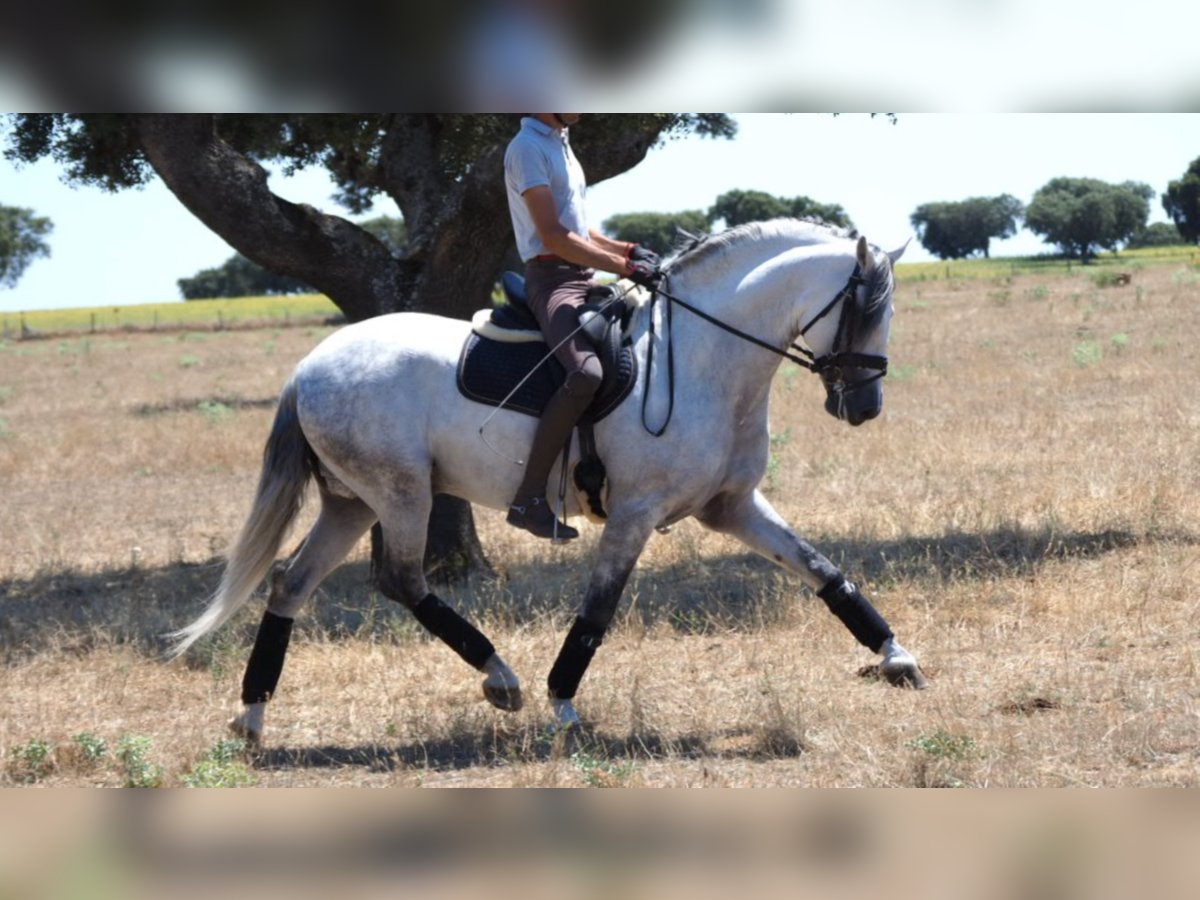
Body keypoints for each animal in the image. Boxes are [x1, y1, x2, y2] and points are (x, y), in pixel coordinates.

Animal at [171, 220, 926, 748]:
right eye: (864, 310)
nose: (864, 406)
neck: (705, 356)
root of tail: (310, 365)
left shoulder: (730, 506)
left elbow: (822, 569)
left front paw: (896, 657)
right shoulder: (636, 513)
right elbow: (597, 611)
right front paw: (563, 703)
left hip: (353, 502)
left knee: (291, 584)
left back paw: (252, 716)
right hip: (401, 494)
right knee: (403, 581)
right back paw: (500, 678)